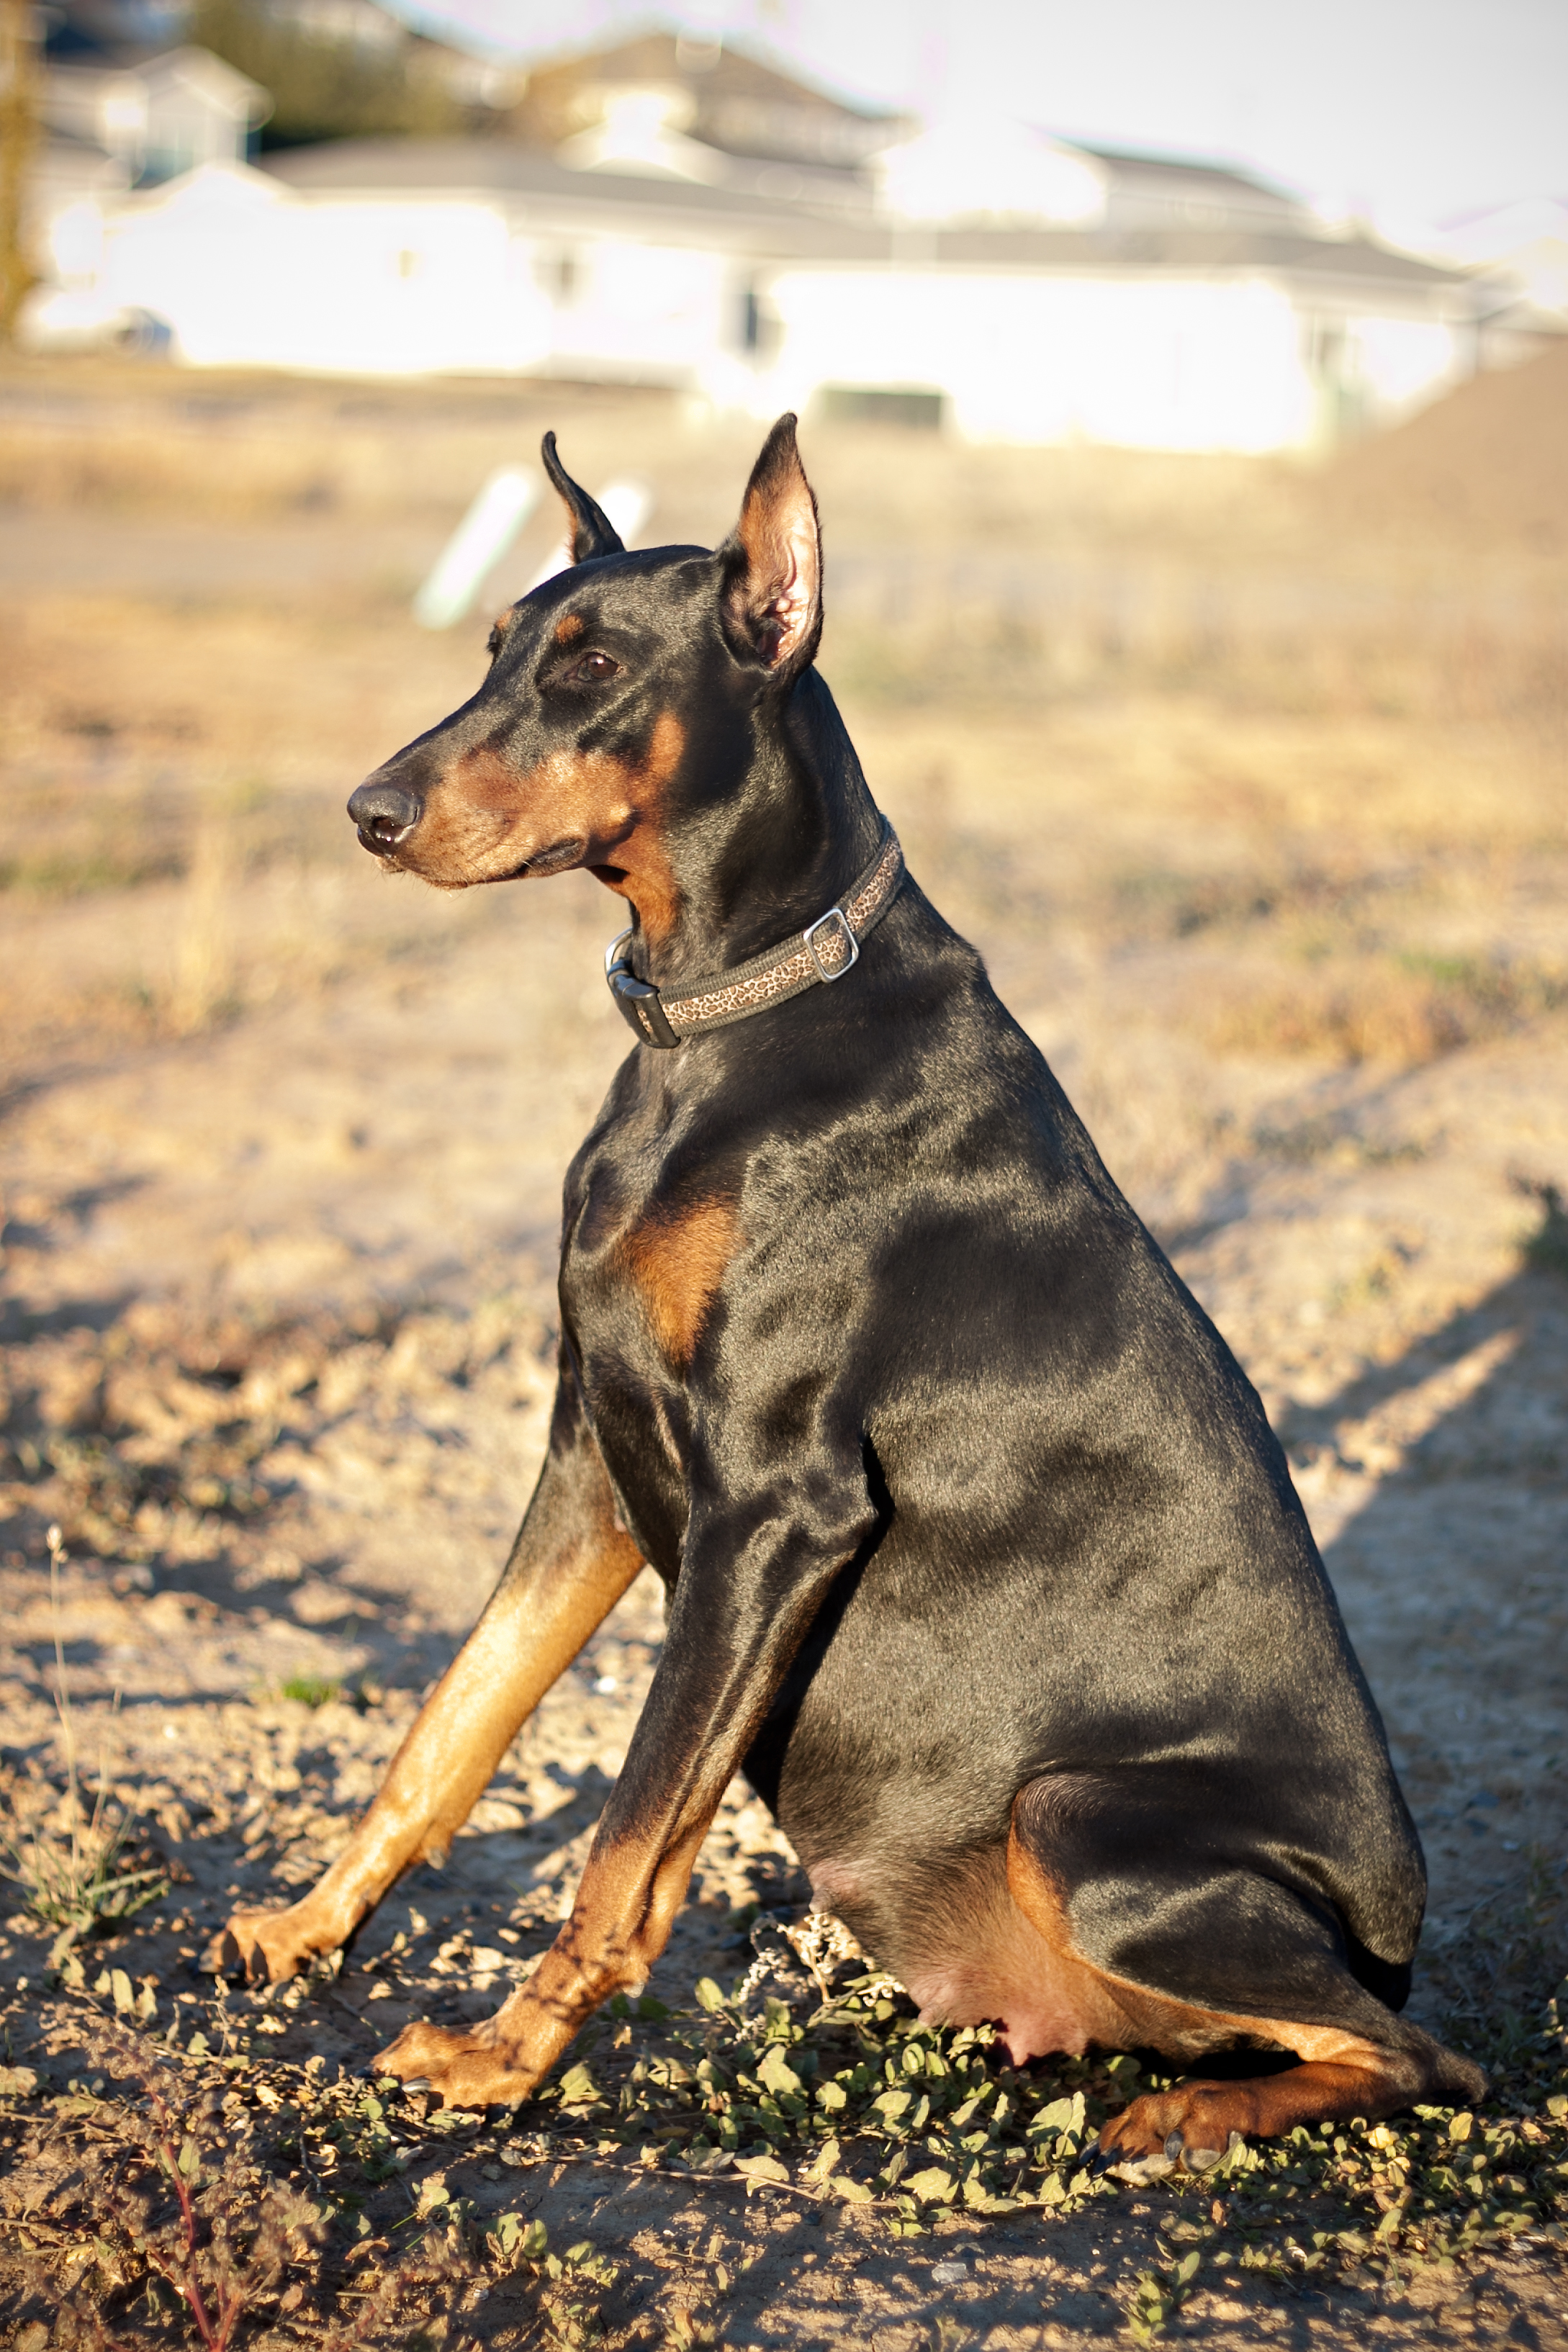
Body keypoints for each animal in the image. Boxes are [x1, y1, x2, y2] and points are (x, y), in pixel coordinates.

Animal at [211, 413, 1485, 2154]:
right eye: (491, 653)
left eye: (591, 663)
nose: (369, 811)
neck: (731, 1011)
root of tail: (1395, 1926)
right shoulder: (594, 1451)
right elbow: (451, 1718)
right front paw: (303, 1927)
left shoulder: (778, 1501)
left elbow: (628, 1836)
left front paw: (498, 2060)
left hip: (1083, 1818)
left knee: (1428, 2060)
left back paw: (1191, 2117)